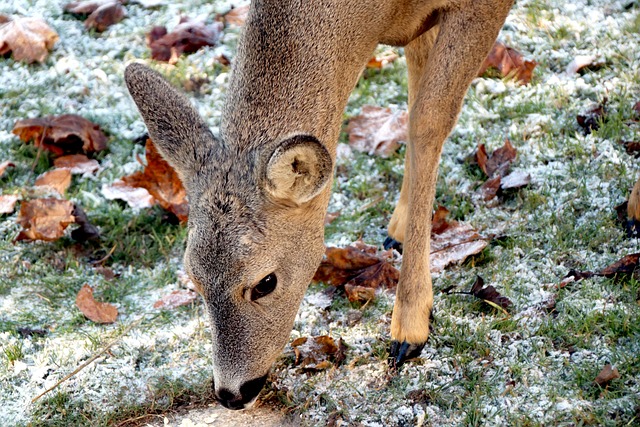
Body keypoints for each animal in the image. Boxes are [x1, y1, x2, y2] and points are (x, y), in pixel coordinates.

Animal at [125, 0, 514, 410]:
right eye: (194, 280)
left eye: (265, 282)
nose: (231, 394)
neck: (381, 17)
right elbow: (414, 97)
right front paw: (399, 232)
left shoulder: (481, 9)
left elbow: (428, 120)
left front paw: (409, 329)